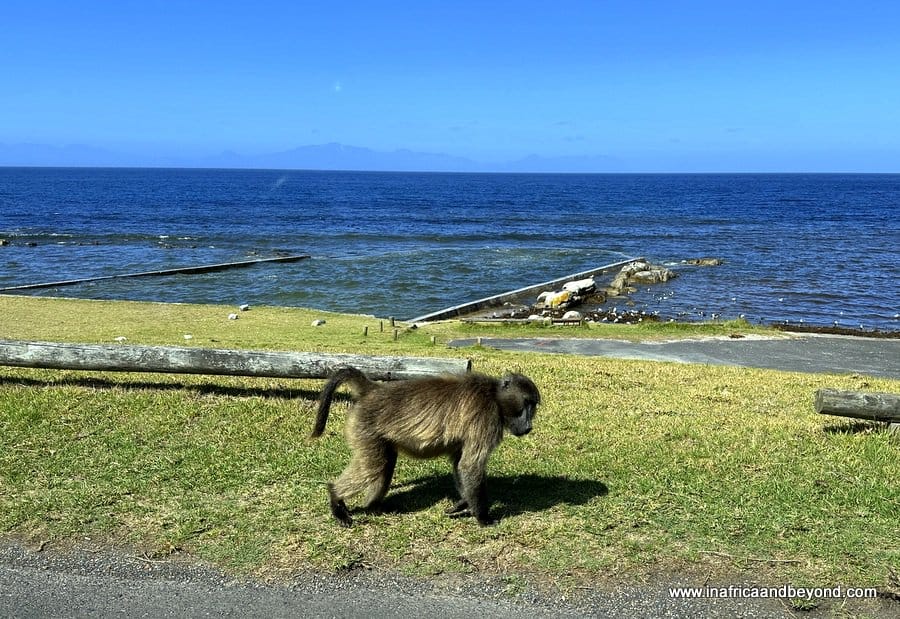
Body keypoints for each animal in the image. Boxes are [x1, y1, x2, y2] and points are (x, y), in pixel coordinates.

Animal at [310, 367, 540, 527]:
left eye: (534, 405)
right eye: (526, 403)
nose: (528, 426)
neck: (494, 395)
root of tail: (374, 389)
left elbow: (460, 463)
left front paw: (463, 503)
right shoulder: (485, 419)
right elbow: (470, 466)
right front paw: (483, 517)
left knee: (384, 464)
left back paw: (374, 506)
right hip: (365, 427)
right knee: (374, 466)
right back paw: (336, 499)